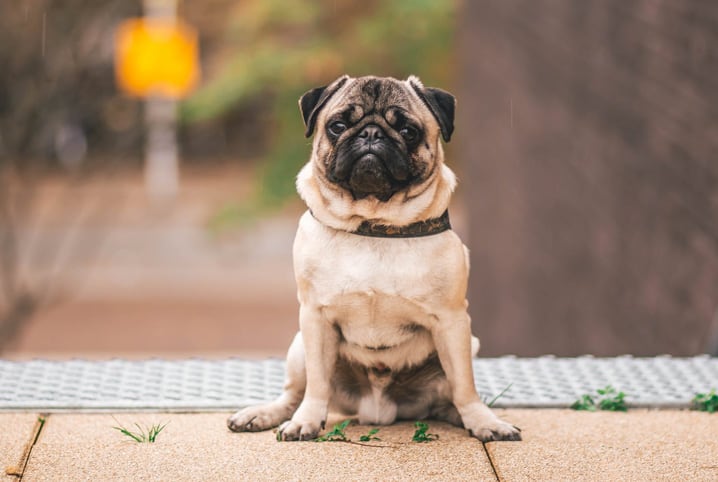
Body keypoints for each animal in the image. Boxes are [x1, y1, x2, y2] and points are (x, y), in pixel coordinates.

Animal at [231, 74, 524, 440]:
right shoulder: (314, 318)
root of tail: (377, 409)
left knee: (450, 397)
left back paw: (465, 416)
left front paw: (483, 421)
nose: (370, 134)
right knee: (294, 393)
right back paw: (265, 414)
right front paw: (306, 420)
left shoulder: (452, 320)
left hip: (466, 344)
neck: (374, 224)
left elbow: (465, 385)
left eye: (409, 131)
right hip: (298, 346)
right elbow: (317, 384)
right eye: (338, 126)